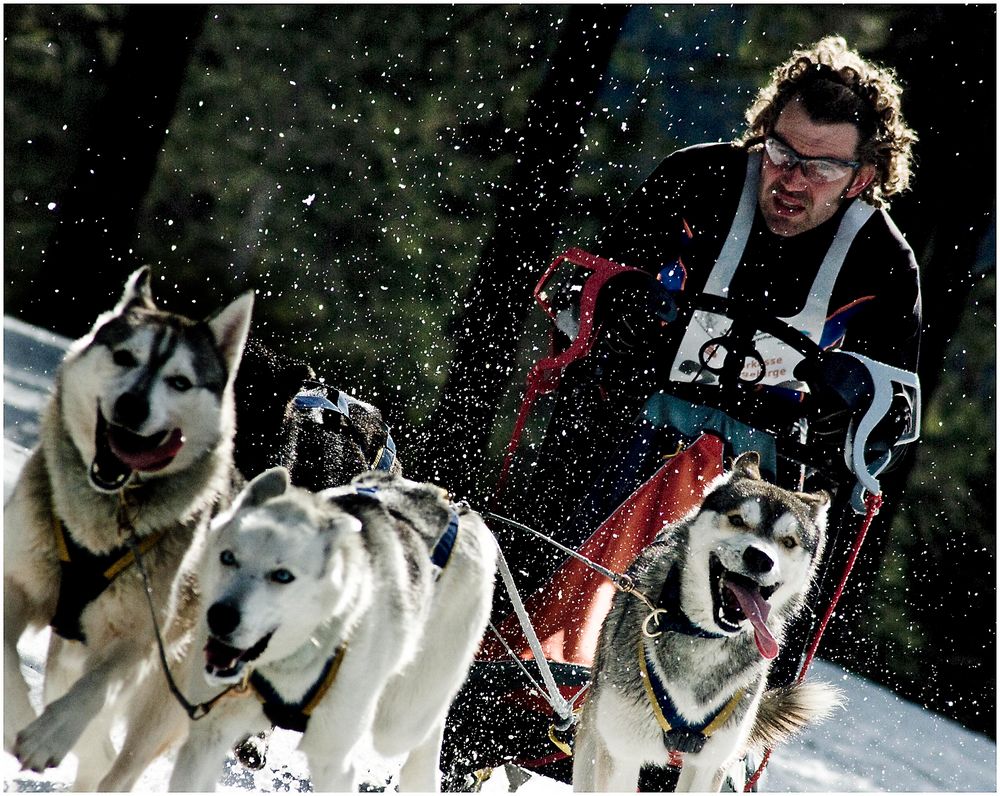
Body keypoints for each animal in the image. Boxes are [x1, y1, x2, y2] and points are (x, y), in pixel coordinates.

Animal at [2, 268, 254, 788]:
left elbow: (96, 688)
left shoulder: (138, 639)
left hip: (172, 696)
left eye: (179, 382)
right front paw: (17, 718)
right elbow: (4, 658)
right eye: (124, 357)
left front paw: (47, 736)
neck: (103, 518)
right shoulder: (17, 582)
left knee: (119, 766)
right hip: (68, 657)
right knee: (93, 740)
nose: (132, 405)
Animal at [97, 466, 496, 788]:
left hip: (400, 721)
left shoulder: (333, 762)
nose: (220, 616)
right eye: (228, 557)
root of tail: (457, 511)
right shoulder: (205, 739)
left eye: (283, 576)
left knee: (426, 730)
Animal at [576, 450, 840, 792]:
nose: (761, 558)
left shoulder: (709, 765)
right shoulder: (621, 752)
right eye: (737, 519)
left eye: (789, 541)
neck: (704, 638)